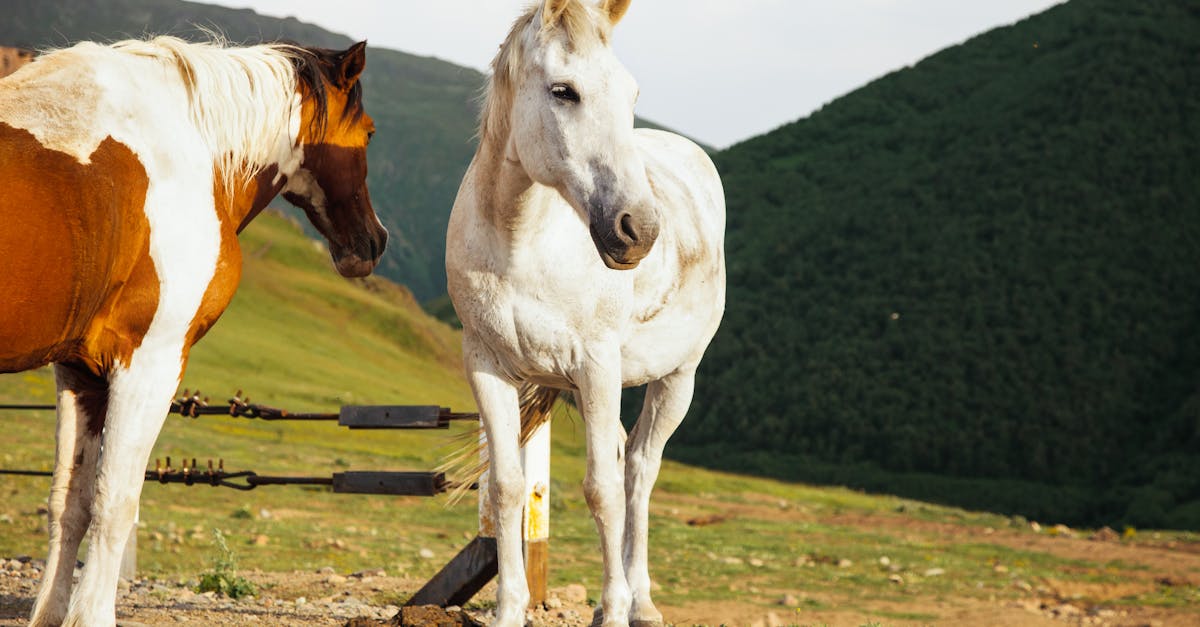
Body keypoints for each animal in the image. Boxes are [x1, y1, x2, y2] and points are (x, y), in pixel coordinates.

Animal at [0, 36, 386, 627]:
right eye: (367, 133)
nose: (373, 241)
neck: (189, 147)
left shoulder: (78, 372)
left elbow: (70, 502)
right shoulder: (149, 362)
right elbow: (116, 503)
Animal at [445, 1, 725, 625]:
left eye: (632, 92)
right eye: (563, 90)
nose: (638, 229)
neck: (520, 241)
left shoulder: (596, 365)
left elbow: (602, 490)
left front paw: (616, 607)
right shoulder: (485, 365)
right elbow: (506, 486)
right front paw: (508, 610)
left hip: (677, 379)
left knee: (639, 472)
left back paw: (639, 603)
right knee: (625, 458)